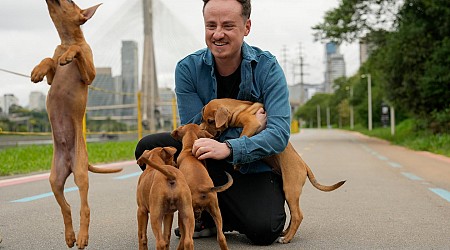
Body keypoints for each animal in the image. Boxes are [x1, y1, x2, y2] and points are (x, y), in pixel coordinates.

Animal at [30, 1, 122, 248]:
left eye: (70, 2)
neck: (67, 40)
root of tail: (71, 163)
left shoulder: (90, 74)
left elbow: (78, 52)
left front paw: (69, 56)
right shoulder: (52, 77)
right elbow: (49, 60)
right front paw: (38, 70)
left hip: (81, 174)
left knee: (85, 208)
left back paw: (82, 237)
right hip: (54, 178)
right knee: (67, 207)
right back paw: (70, 236)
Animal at [199, 98, 346, 244]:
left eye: (211, 121)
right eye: (203, 119)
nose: (202, 129)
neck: (236, 109)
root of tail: (304, 165)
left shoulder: (252, 123)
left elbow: (242, 136)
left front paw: (238, 162)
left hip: (290, 189)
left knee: (298, 215)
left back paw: (286, 239)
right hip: (290, 191)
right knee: (294, 214)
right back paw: (285, 233)